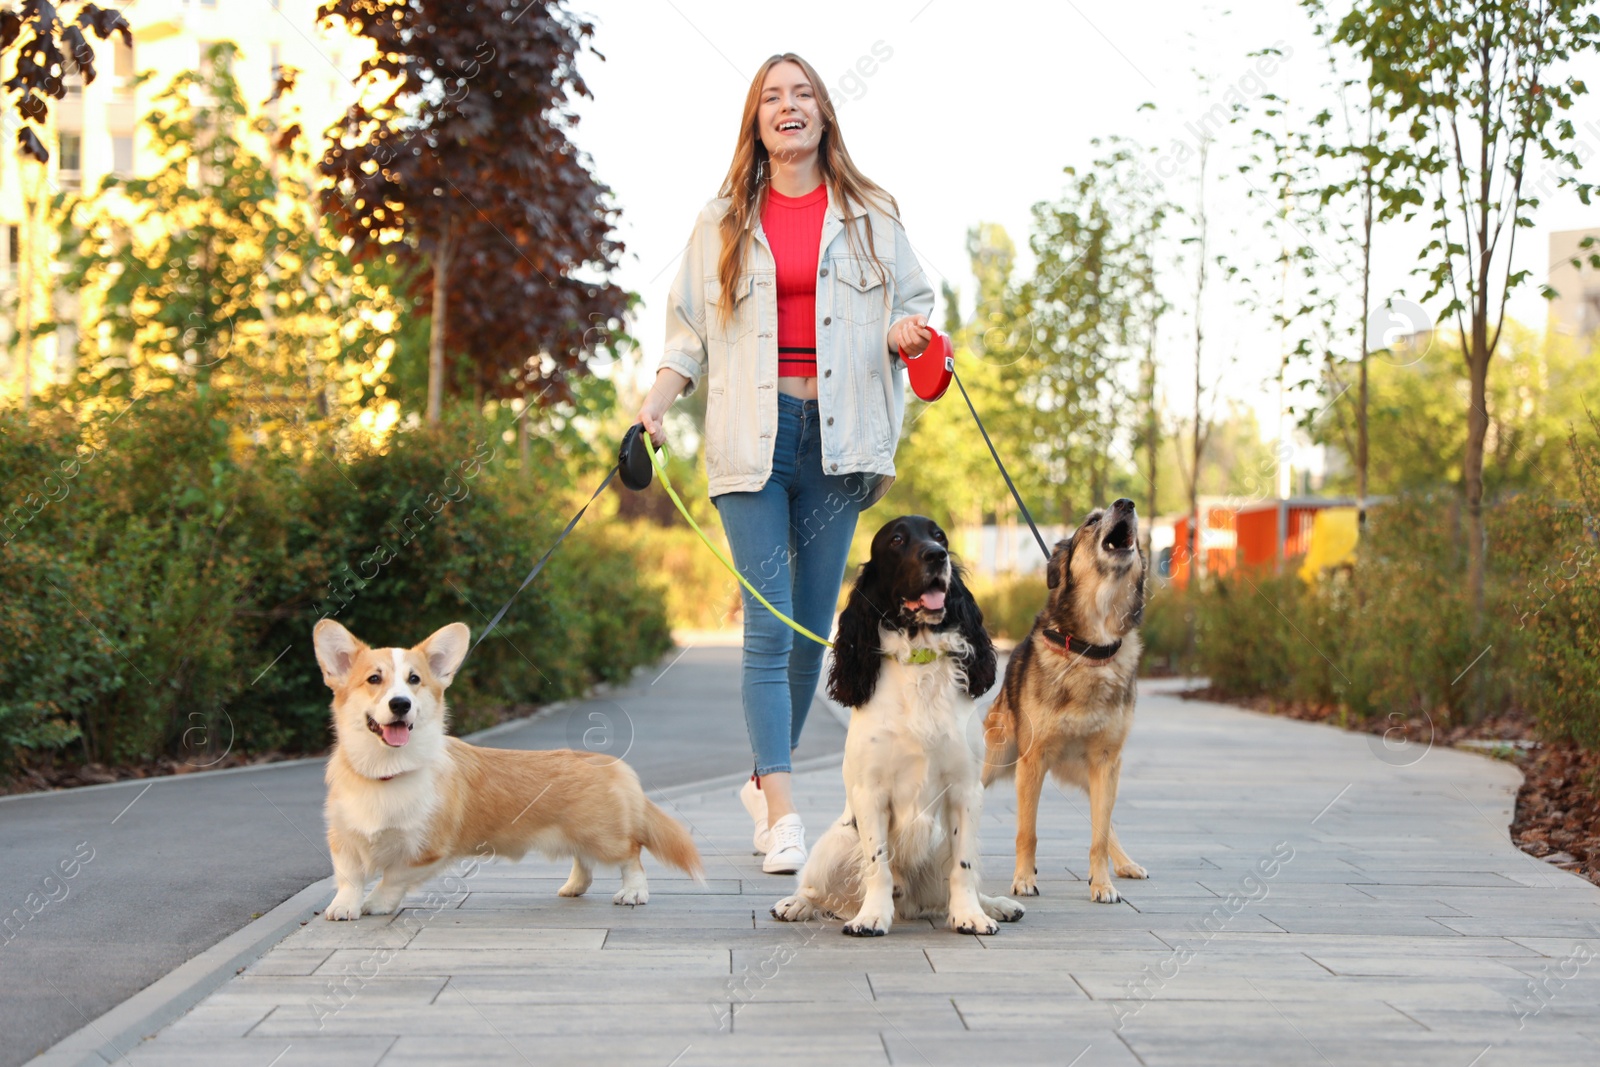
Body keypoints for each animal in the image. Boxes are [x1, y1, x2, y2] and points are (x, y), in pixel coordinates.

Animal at [315, 617, 704, 921]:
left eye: (414, 680)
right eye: (374, 679)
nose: (401, 704)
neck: (387, 771)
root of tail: (611, 765)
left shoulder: (429, 850)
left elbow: (392, 877)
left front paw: (375, 903)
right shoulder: (342, 839)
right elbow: (349, 878)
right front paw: (344, 907)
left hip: (604, 836)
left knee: (631, 855)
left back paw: (633, 893)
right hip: (581, 835)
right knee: (585, 862)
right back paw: (574, 887)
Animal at [771, 515, 1024, 934]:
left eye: (940, 537)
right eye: (897, 540)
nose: (937, 556)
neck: (917, 659)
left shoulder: (965, 789)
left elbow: (963, 868)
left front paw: (971, 915)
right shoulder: (869, 791)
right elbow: (878, 864)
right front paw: (872, 915)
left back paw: (996, 905)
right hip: (835, 845)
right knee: (814, 886)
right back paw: (796, 904)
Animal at [972, 502, 1152, 902]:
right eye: (1091, 521)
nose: (1127, 503)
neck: (1090, 650)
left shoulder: (1105, 763)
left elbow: (1099, 834)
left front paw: (1102, 884)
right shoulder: (1032, 761)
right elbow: (1027, 831)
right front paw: (1024, 879)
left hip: (1097, 775)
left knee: (1108, 824)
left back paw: (1126, 864)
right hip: (998, 757)